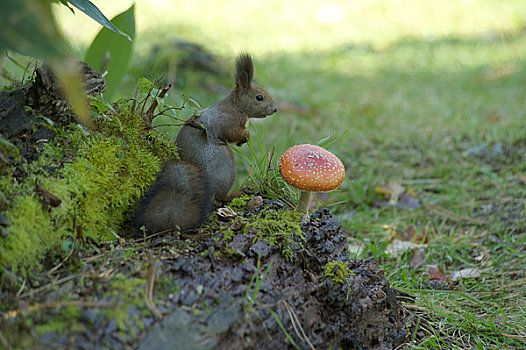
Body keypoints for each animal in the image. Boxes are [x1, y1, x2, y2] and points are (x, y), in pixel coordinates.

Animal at [133, 53, 280, 234]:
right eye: (259, 97)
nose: (275, 109)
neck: (235, 107)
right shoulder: (227, 122)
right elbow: (233, 133)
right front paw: (246, 137)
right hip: (226, 166)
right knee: (221, 197)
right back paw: (239, 192)